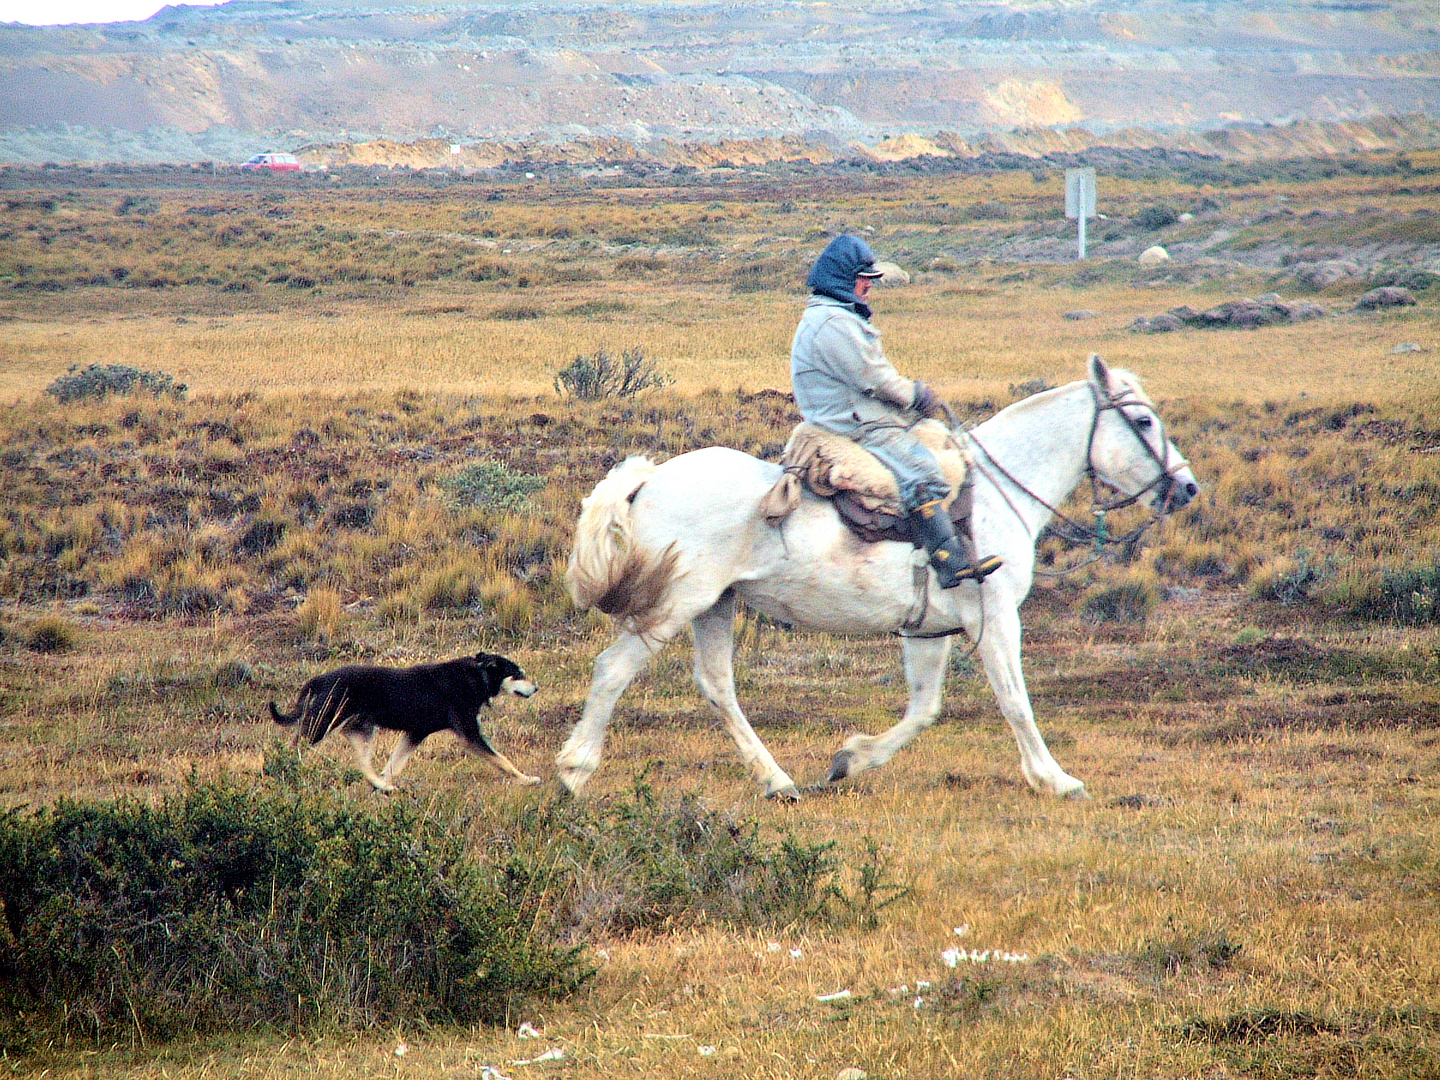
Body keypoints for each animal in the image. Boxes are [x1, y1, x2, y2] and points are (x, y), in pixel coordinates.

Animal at [270, 650, 541, 794]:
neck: (478, 675)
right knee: (291, 749)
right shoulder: (469, 735)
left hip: (361, 731)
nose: (536, 688)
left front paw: (384, 784)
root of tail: (318, 679)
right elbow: (503, 761)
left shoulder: (415, 733)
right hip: (321, 725)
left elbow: (394, 765)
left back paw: (382, 786)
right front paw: (527, 779)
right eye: (517, 674)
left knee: (363, 763)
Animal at [555, 357, 1198, 806]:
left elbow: (924, 708)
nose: (1187, 488)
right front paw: (1056, 779)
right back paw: (573, 772)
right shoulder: (994, 619)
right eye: (1143, 420)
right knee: (613, 670)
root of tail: (652, 477)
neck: (995, 493)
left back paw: (779, 782)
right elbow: (1015, 702)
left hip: (715, 606)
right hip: (673, 608)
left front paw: (851, 760)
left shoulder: (928, 632)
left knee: (717, 686)